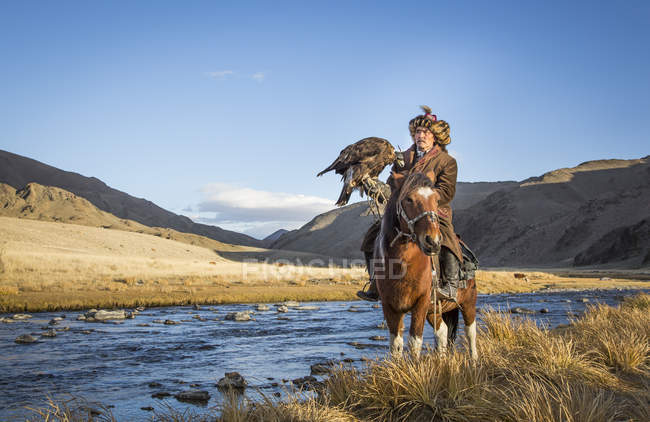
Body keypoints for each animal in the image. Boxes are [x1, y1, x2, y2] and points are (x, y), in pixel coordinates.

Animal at [370, 171, 476, 360]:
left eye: (436, 199)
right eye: (409, 199)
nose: (433, 241)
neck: (402, 264)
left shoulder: (421, 302)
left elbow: (414, 342)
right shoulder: (389, 305)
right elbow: (395, 345)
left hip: (468, 301)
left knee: (470, 333)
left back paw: (474, 361)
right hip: (434, 311)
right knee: (442, 331)